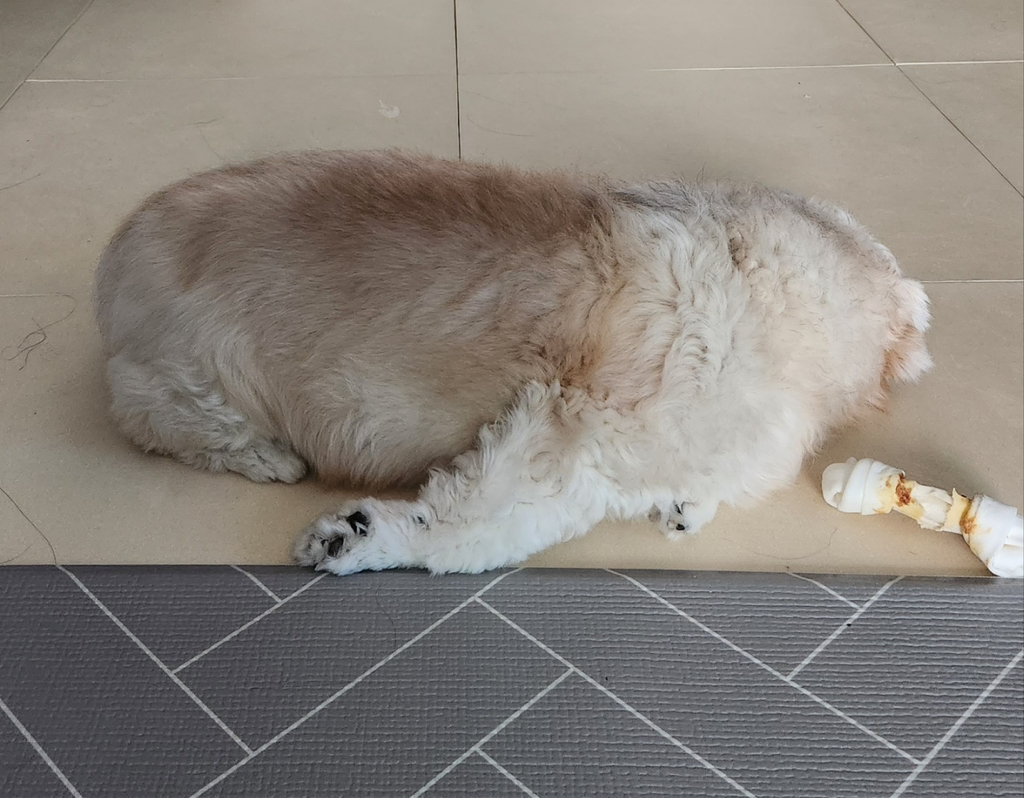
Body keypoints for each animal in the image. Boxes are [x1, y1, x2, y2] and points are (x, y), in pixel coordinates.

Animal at [93, 150, 932, 575]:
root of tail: (115, 258)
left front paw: (684, 509)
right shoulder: (574, 437)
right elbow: (464, 528)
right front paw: (360, 538)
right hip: (184, 382)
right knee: (164, 427)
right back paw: (266, 457)